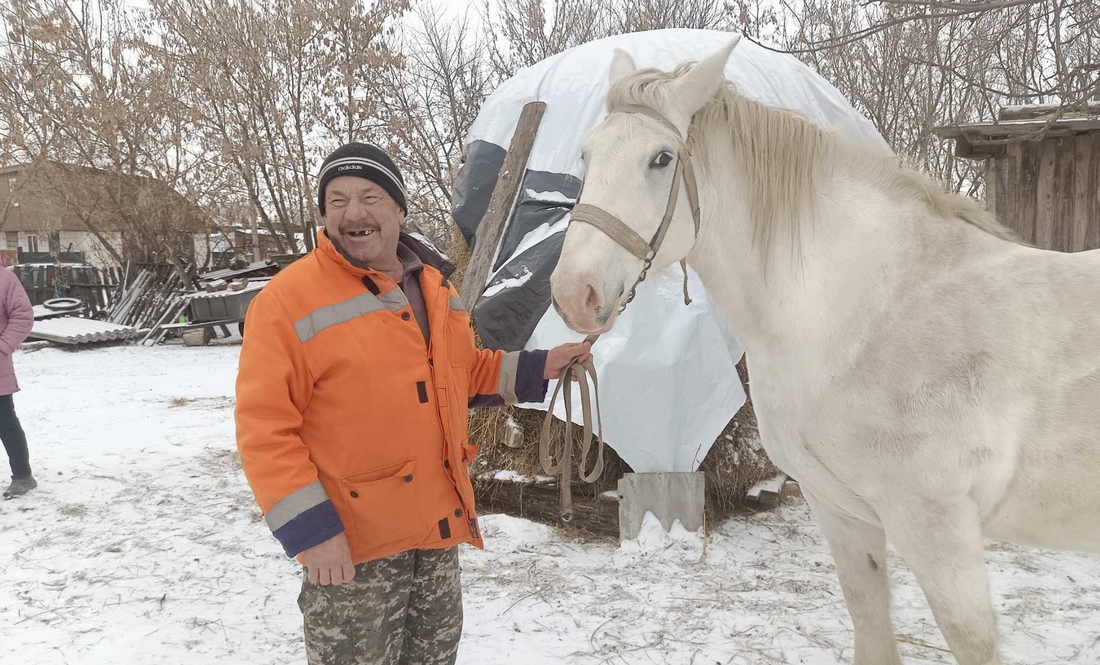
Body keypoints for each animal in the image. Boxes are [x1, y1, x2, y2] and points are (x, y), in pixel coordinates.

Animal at [550, 37, 1100, 663]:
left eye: (661, 158)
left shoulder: (937, 525)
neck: (866, 313)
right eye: (587, 155)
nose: (572, 293)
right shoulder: (841, 512)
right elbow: (869, 621)